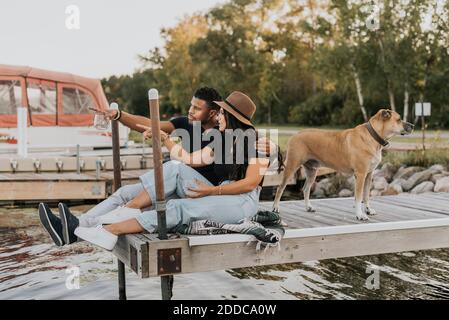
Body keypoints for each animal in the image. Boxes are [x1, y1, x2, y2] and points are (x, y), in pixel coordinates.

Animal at [272, 109, 412, 221]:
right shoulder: (360, 175)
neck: (373, 137)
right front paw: (360, 215)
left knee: (306, 188)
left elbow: (366, 195)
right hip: (292, 166)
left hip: (312, 170)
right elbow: (358, 196)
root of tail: (295, 134)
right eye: (399, 119)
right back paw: (275, 208)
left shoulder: (369, 174)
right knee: (280, 188)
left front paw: (368, 210)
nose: (412, 125)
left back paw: (309, 207)